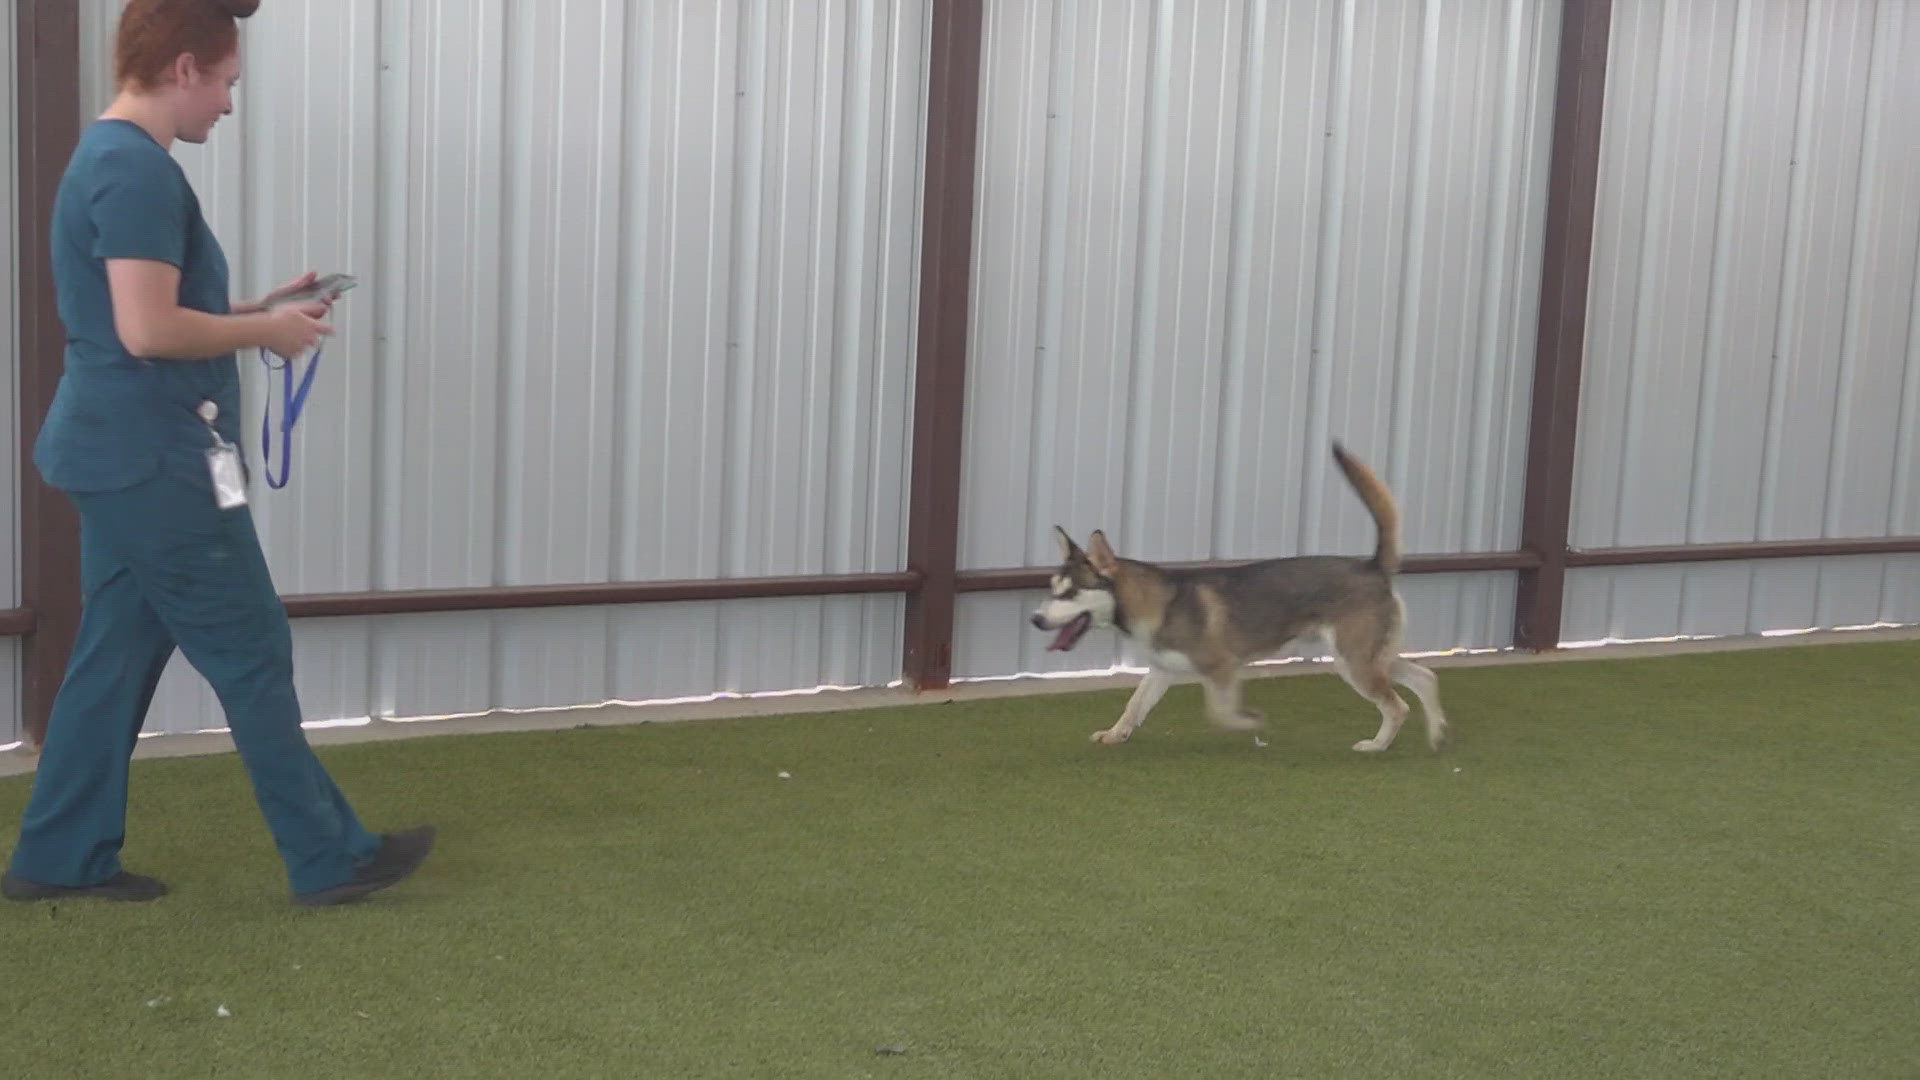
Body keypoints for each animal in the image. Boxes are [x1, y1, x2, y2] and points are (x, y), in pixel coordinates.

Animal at [1029, 438, 1443, 749]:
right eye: (1052, 589)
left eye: (1071, 593)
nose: (1034, 619)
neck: (1155, 603)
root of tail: (1372, 565)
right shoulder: (1161, 670)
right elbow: (1134, 705)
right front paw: (1117, 734)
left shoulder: (1222, 669)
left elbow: (1219, 713)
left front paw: (1253, 722)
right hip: (1370, 658)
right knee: (1425, 677)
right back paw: (1438, 734)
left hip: (1354, 662)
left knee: (1398, 706)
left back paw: (1377, 745)